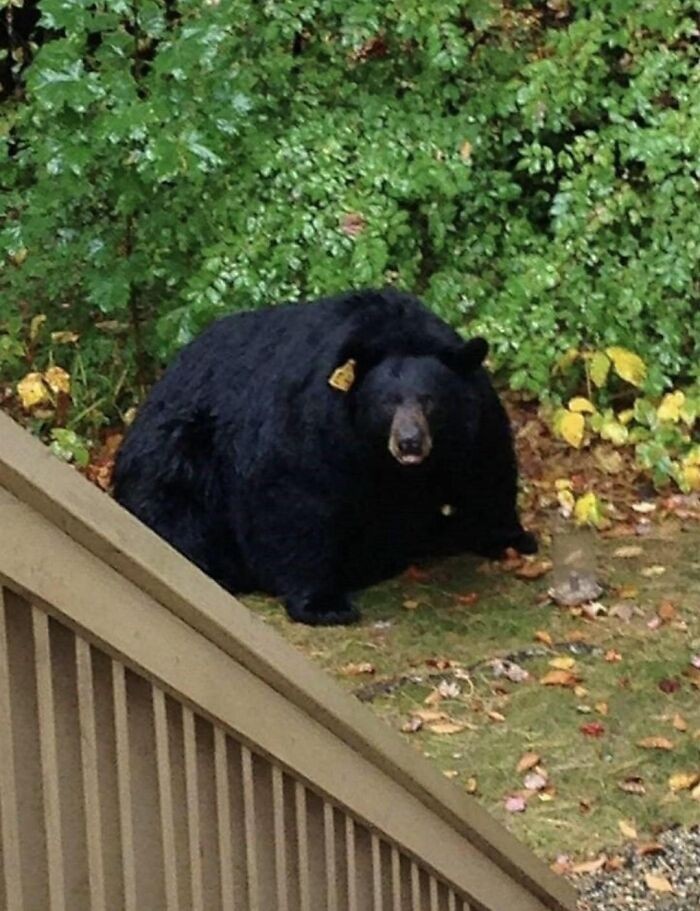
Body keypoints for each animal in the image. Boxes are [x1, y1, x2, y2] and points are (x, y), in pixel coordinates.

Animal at [113, 292, 536, 628]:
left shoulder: (471, 422)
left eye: (429, 400)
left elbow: (486, 468)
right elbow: (295, 499)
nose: (410, 443)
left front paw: (512, 537)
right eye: (387, 403)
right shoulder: (314, 423)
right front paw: (324, 604)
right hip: (181, 449)